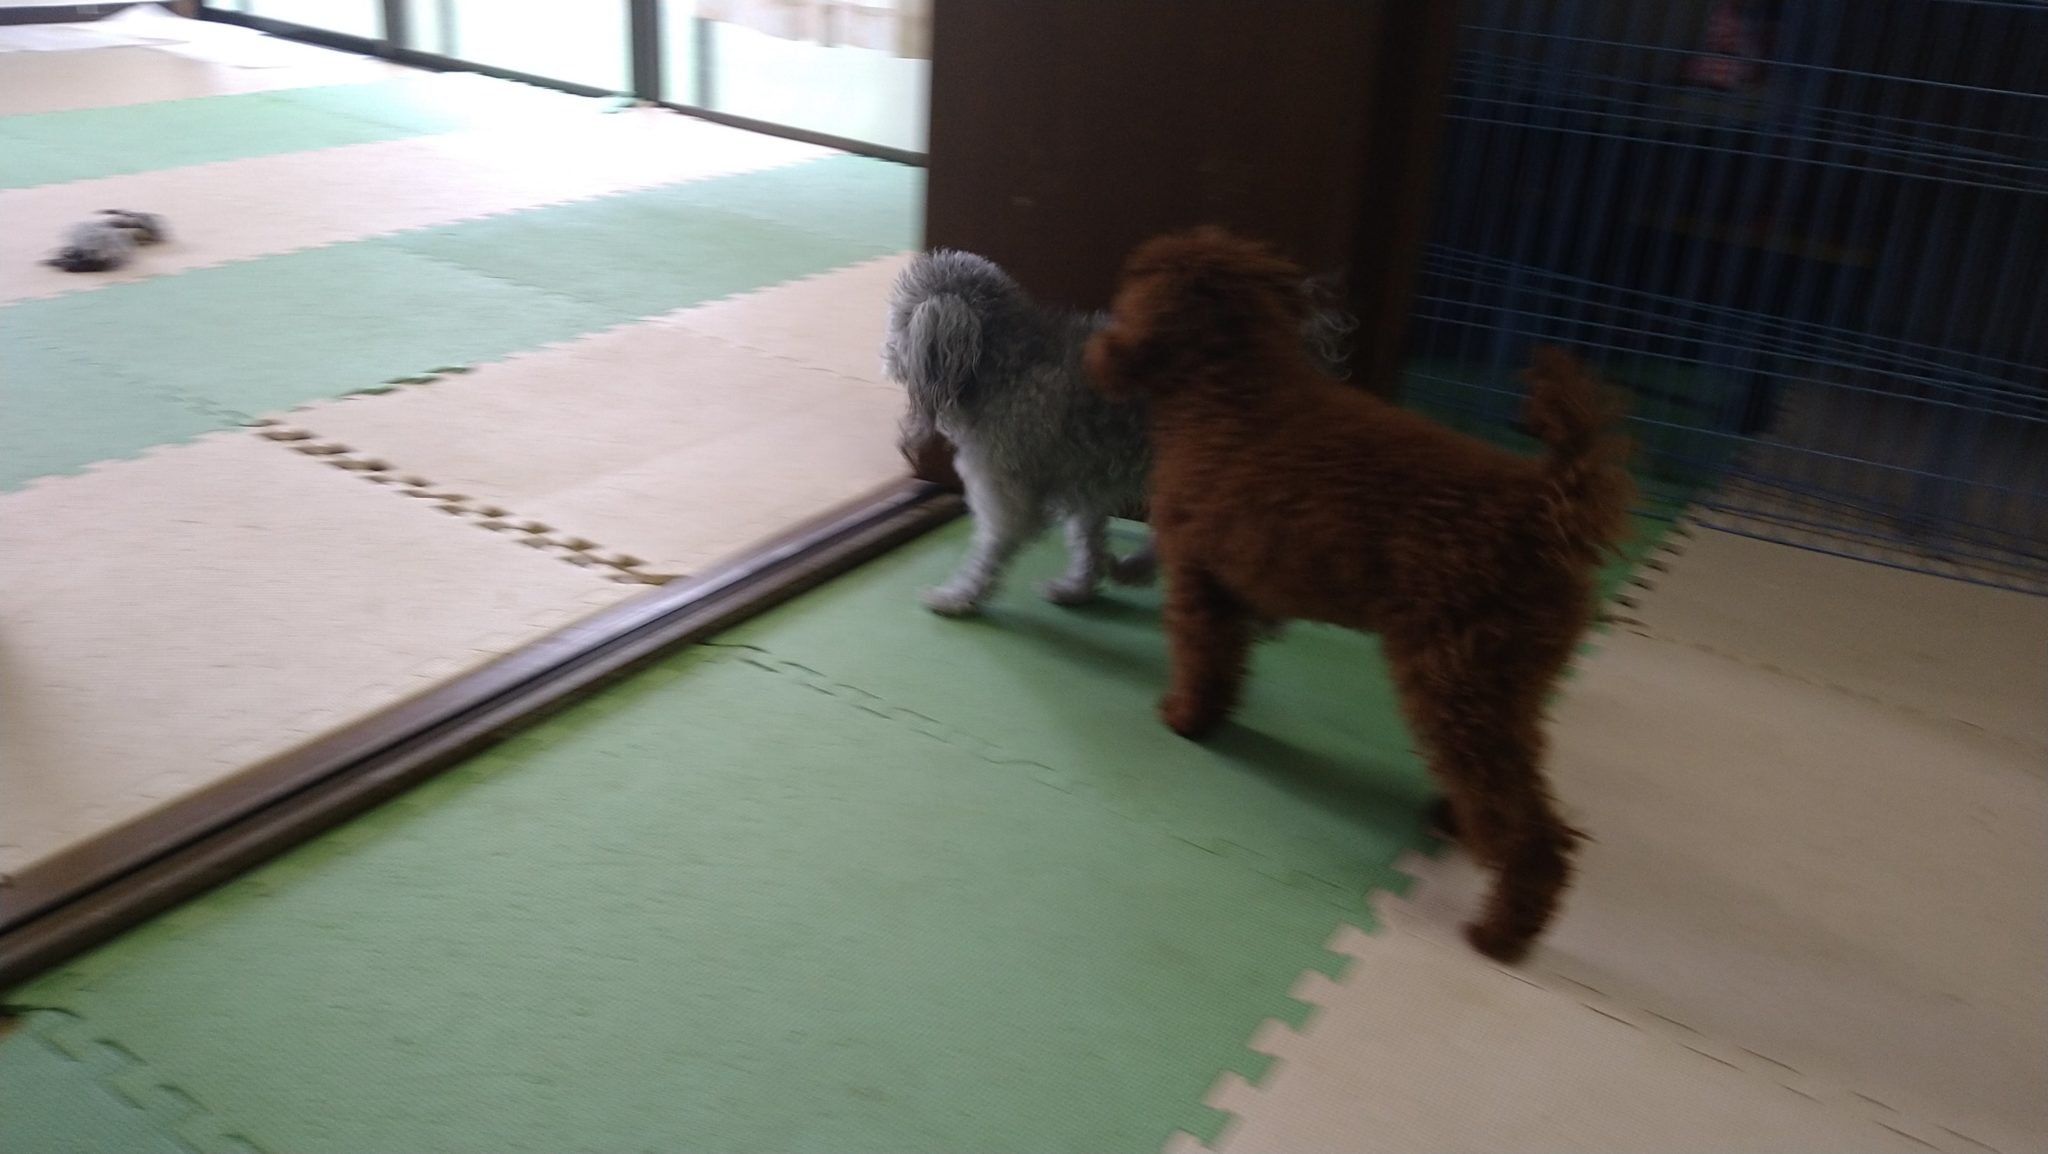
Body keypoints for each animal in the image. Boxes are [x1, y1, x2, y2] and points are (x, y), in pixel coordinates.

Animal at [884, 248, 1352, 616]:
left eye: (900, 321)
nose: (885, 352)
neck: (1011, 365)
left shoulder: (1007, 489)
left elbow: (993, 546)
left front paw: (958, 597)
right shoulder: (1083, 484)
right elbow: (1087, 538)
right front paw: (1078, 588)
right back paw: (1135, 570)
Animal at [1087, 227, 1634, 964]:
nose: (1096, 349)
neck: (1227, 387)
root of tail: (1549, 506)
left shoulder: (1199, 581)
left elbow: (1201, 659)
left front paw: (1186, 719)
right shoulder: (1232, 588)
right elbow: (1230, 661)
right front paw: (1217, 711)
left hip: (1455, 677)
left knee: (1531, 832)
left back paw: (1501, 932)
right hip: (1512, 680)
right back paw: (1454, 819)